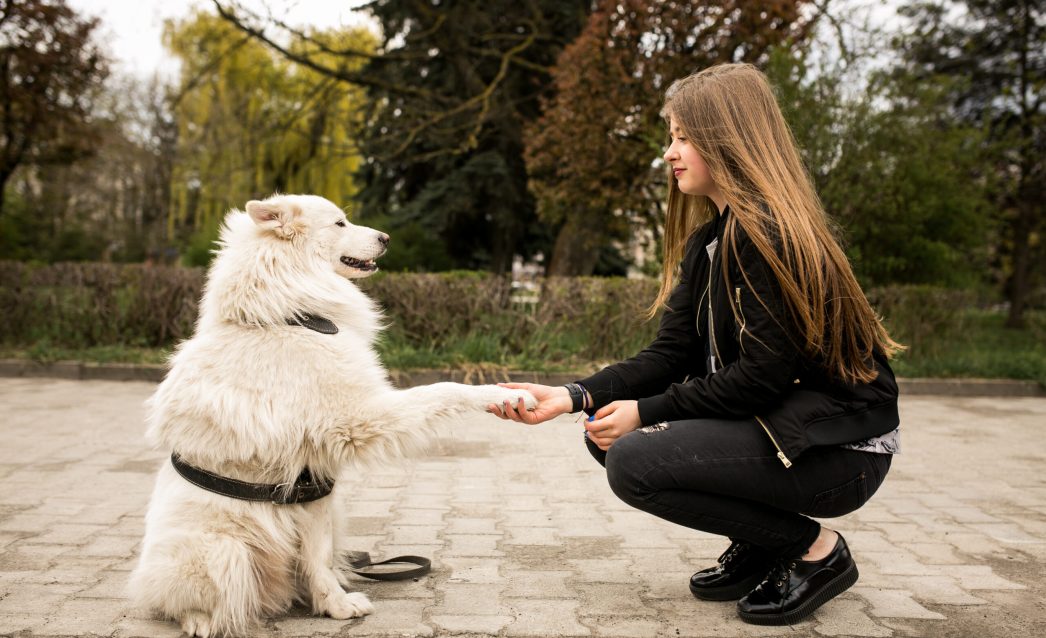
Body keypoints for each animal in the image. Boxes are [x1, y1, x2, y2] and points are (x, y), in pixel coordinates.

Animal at [129, 193, 535, 635]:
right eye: (340, 223)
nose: (386, 238)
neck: (290, 317)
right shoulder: (358, 417)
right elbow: (444, 389)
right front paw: (505, 393)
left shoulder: (317, 494)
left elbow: (318, 559)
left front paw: (335, 606)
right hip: (225, 551)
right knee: (190, 601)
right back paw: (201, 621)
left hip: (327, 514)